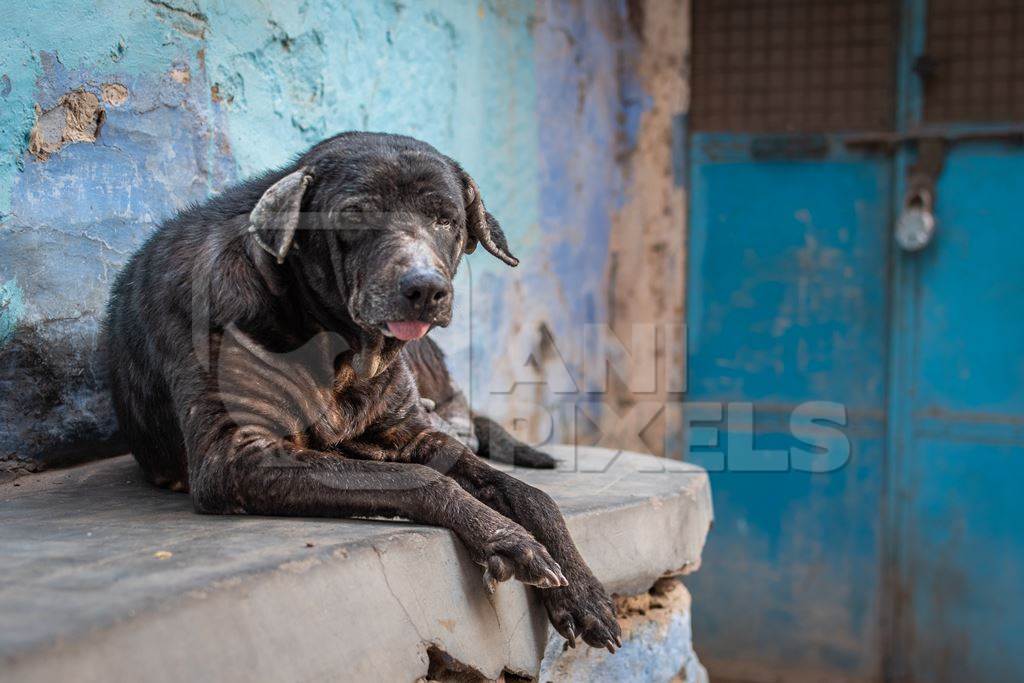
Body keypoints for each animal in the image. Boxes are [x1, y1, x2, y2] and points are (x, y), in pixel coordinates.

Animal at [101, 131, 622, 651]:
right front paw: (503, 537)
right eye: (356, 215)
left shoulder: (412, 432)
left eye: (445, 219)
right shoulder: (235, 458)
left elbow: (530, 495)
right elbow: (420, 479)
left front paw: (583, 590)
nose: (426, 289)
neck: (336, 350)